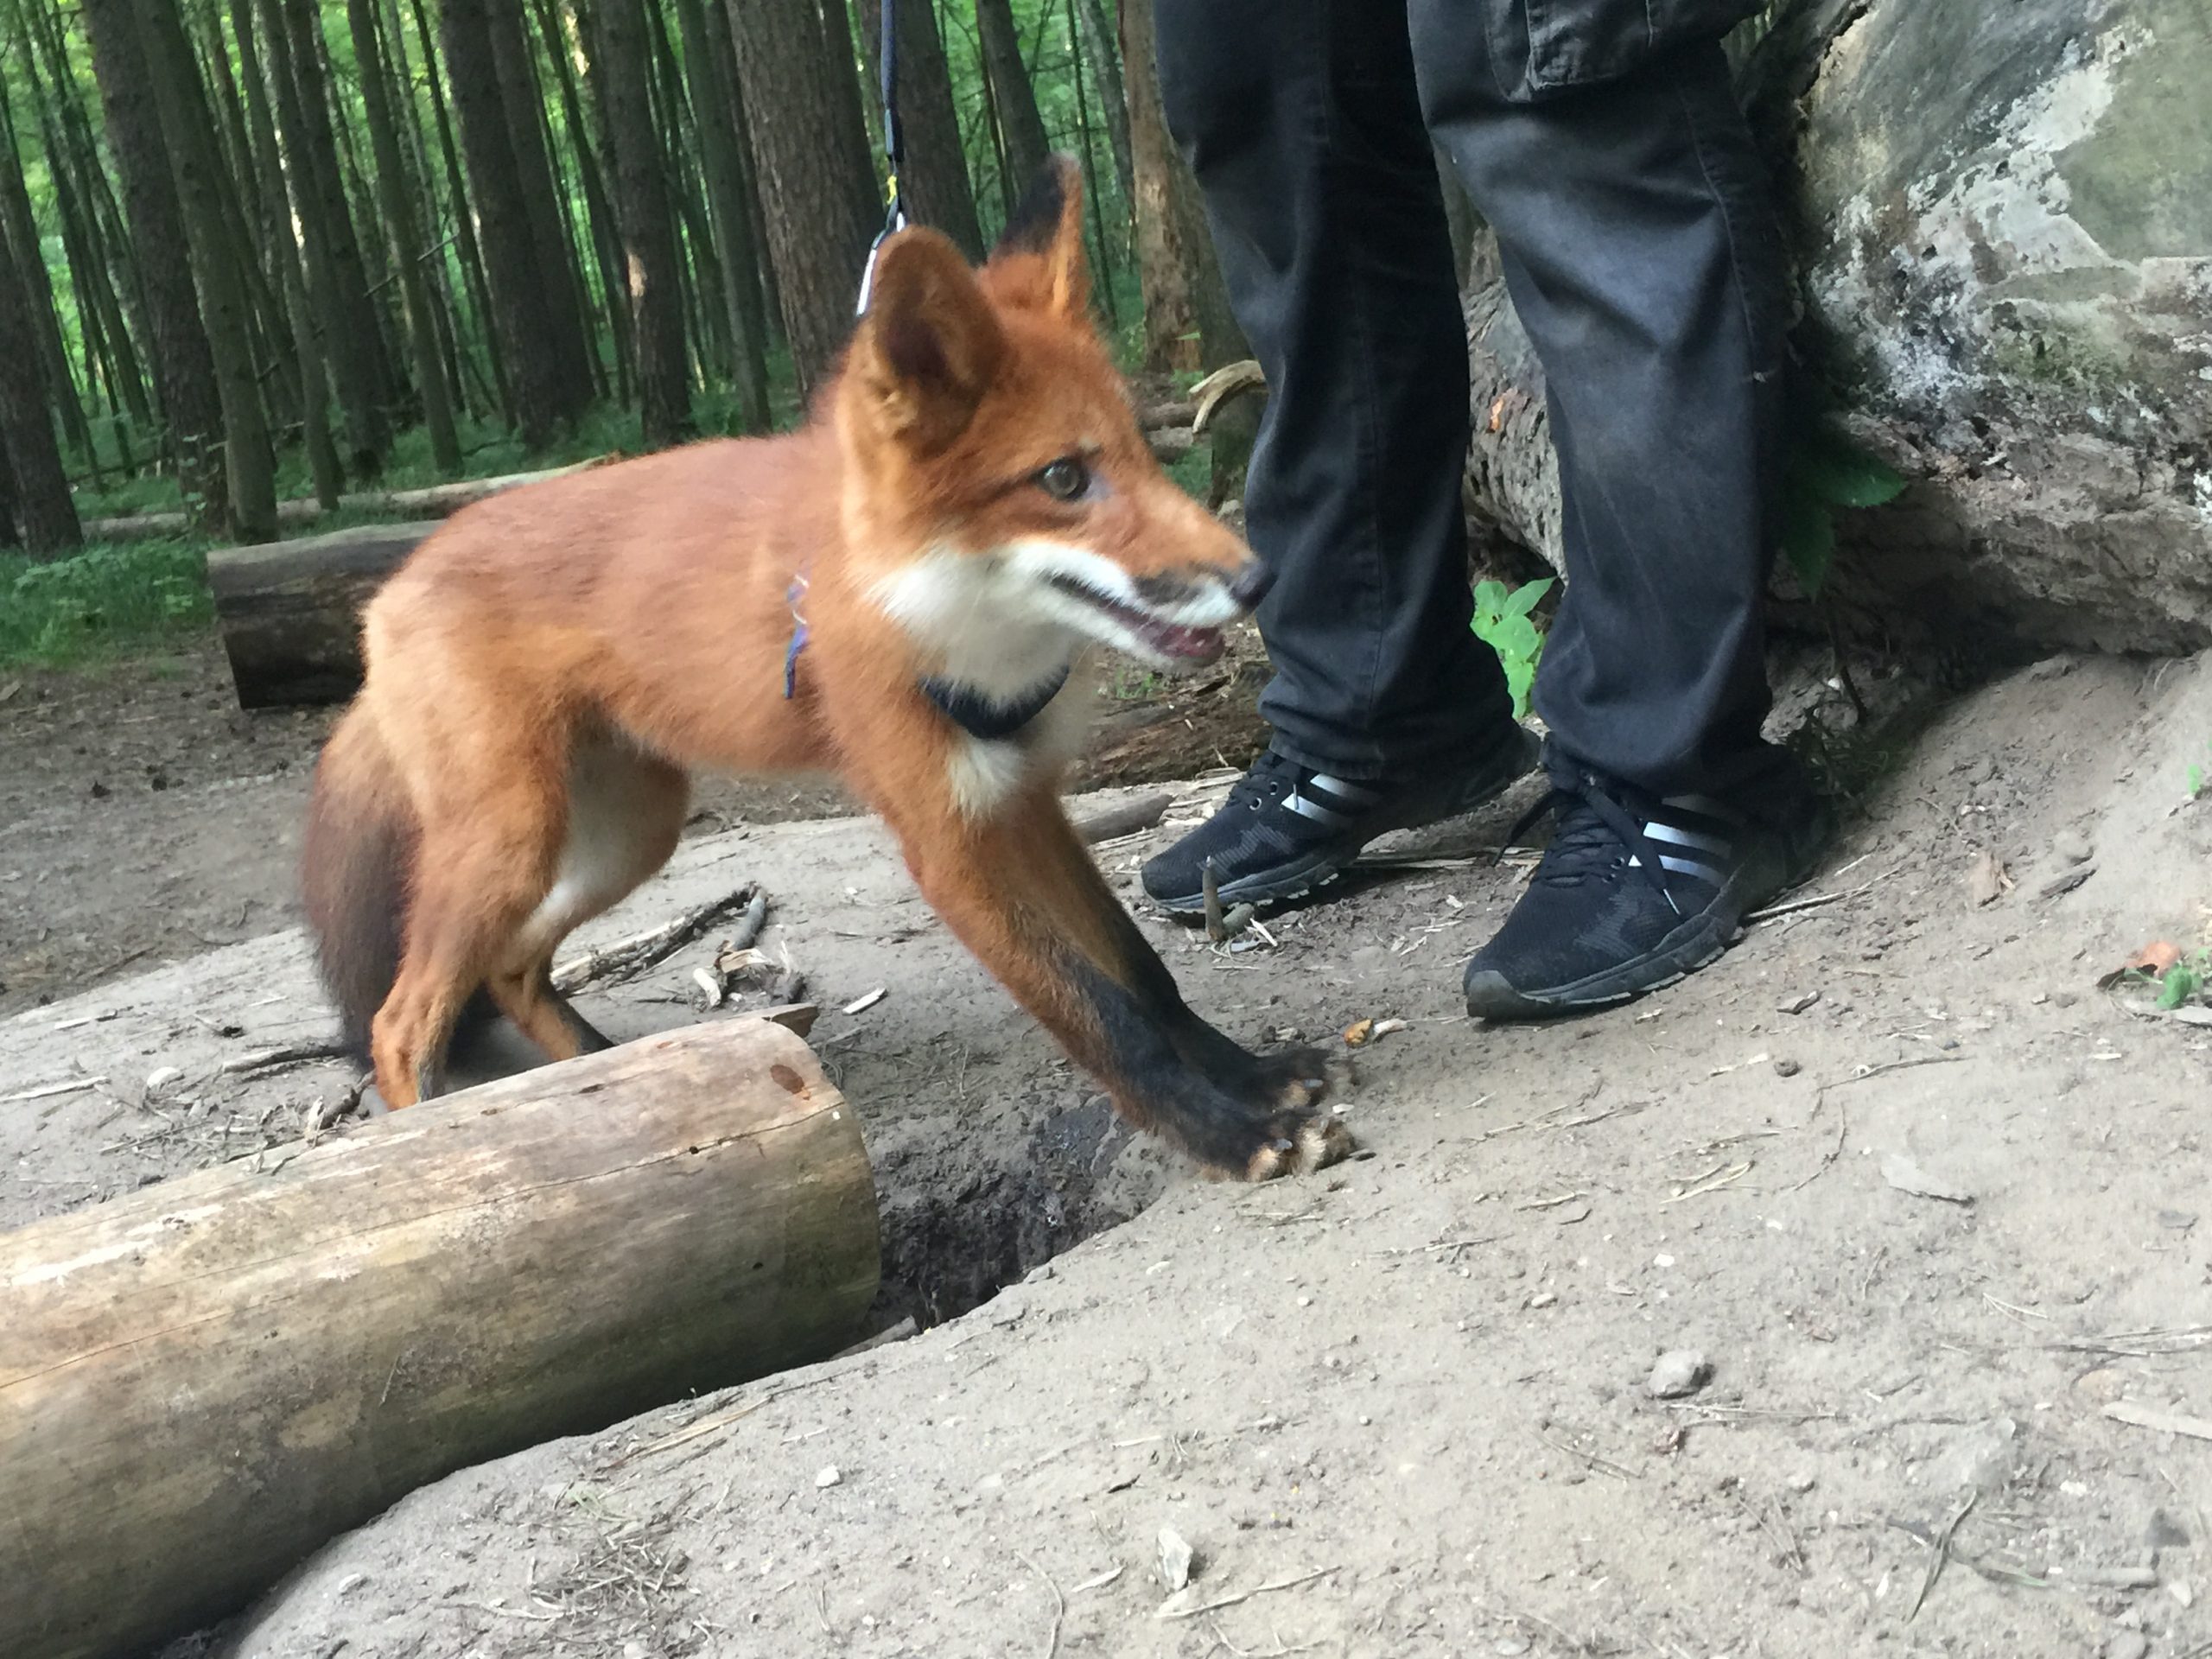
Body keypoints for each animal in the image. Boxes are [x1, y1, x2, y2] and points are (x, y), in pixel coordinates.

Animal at [300, 157, 1348, 1181]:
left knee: (511, 969)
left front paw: (1250, 1078)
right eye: (1062, 479)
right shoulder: (947, 845)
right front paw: (1224, 1133)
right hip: (515, 840)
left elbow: (1144, 974)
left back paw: (604, 1077)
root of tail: (388, 591)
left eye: (1144, 453)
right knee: (401, 1021)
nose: (1260, 579)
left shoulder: (1021, 801)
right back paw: (439, 1143)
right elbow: (1102, 1015)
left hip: (627, 834)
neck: (944, 625)